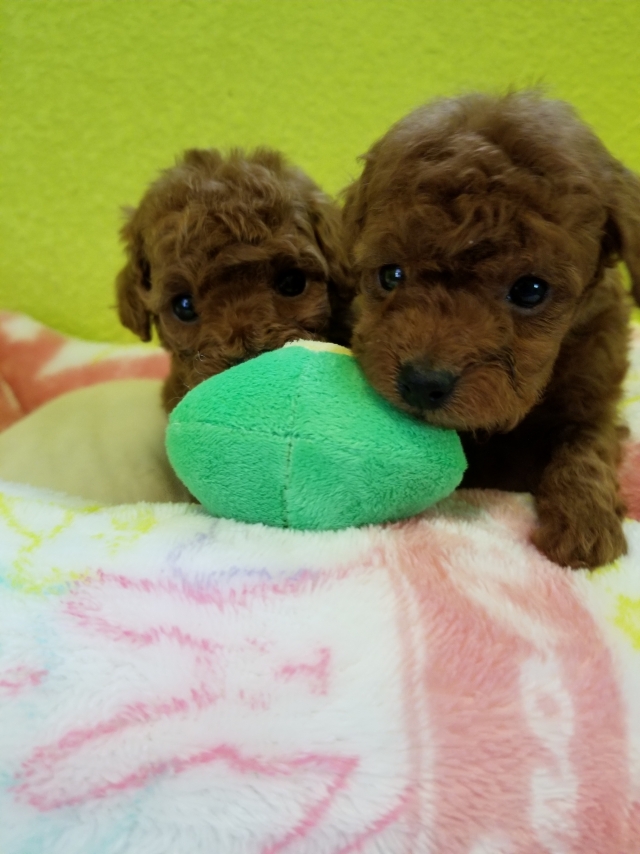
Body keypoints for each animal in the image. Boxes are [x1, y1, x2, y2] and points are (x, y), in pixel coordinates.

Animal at [342, 91, 640, 568]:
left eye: (531, 290)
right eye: (391, 275)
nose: (421, 384)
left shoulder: (594, 396)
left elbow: (586, 447)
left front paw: (585, 526)